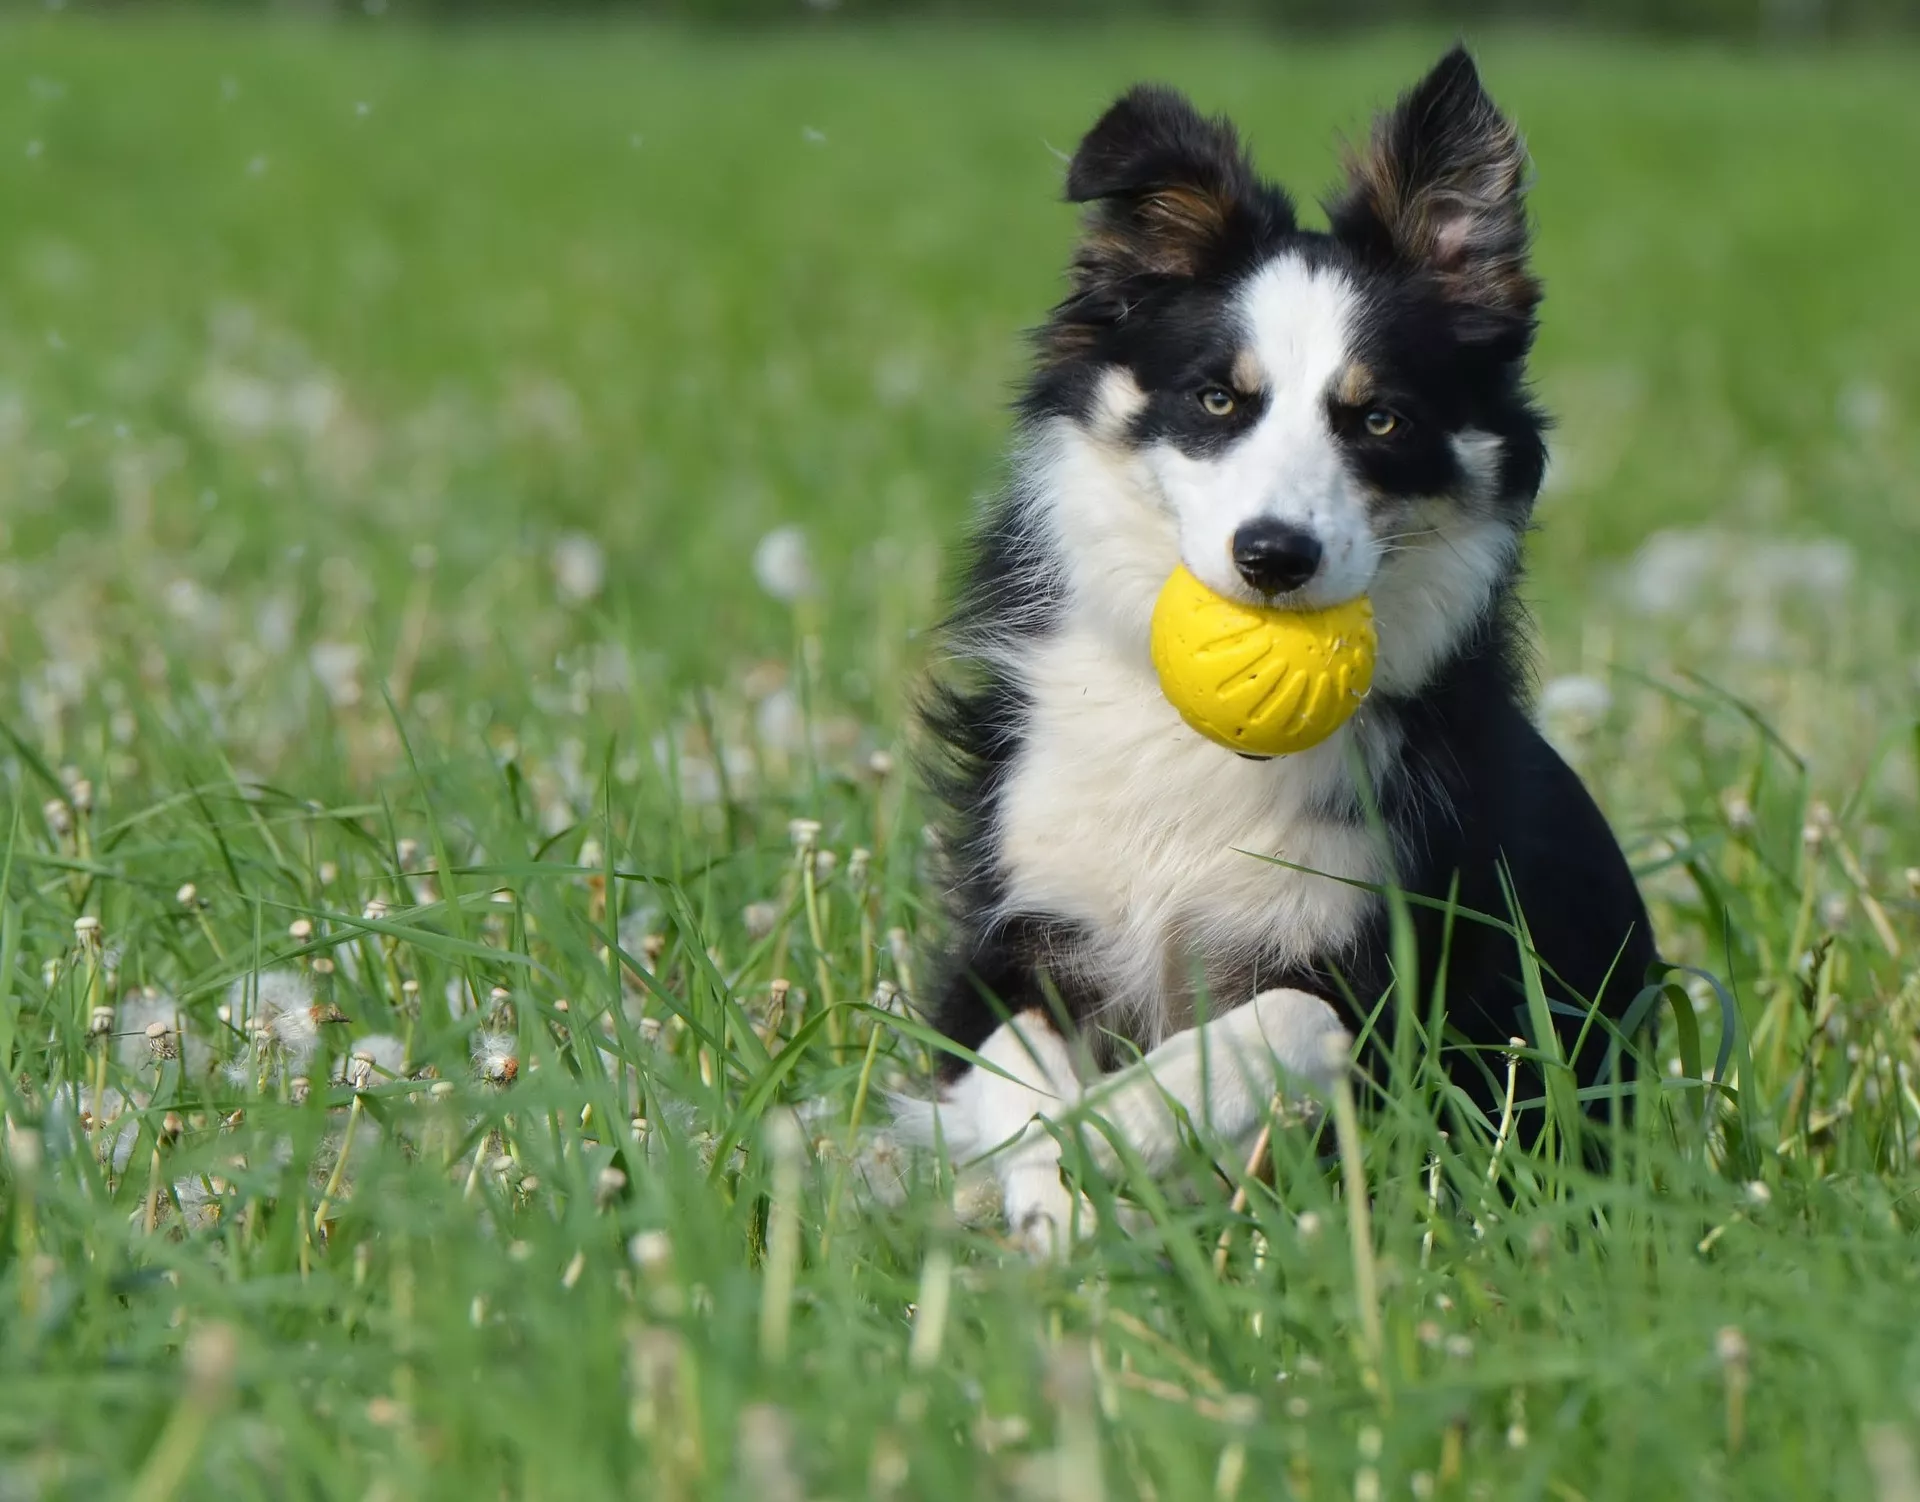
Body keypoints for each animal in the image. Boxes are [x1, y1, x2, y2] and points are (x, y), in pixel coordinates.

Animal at [906, 47, 1658, 1259]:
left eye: (1382, 419)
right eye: (1218, 398)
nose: (1273, 556)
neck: (1193, 747)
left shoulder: (1399, 988)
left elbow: (1281, 1022)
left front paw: (1118, 1129)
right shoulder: (1014, 927)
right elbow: (1011, 1058)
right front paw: (1048, 1185)